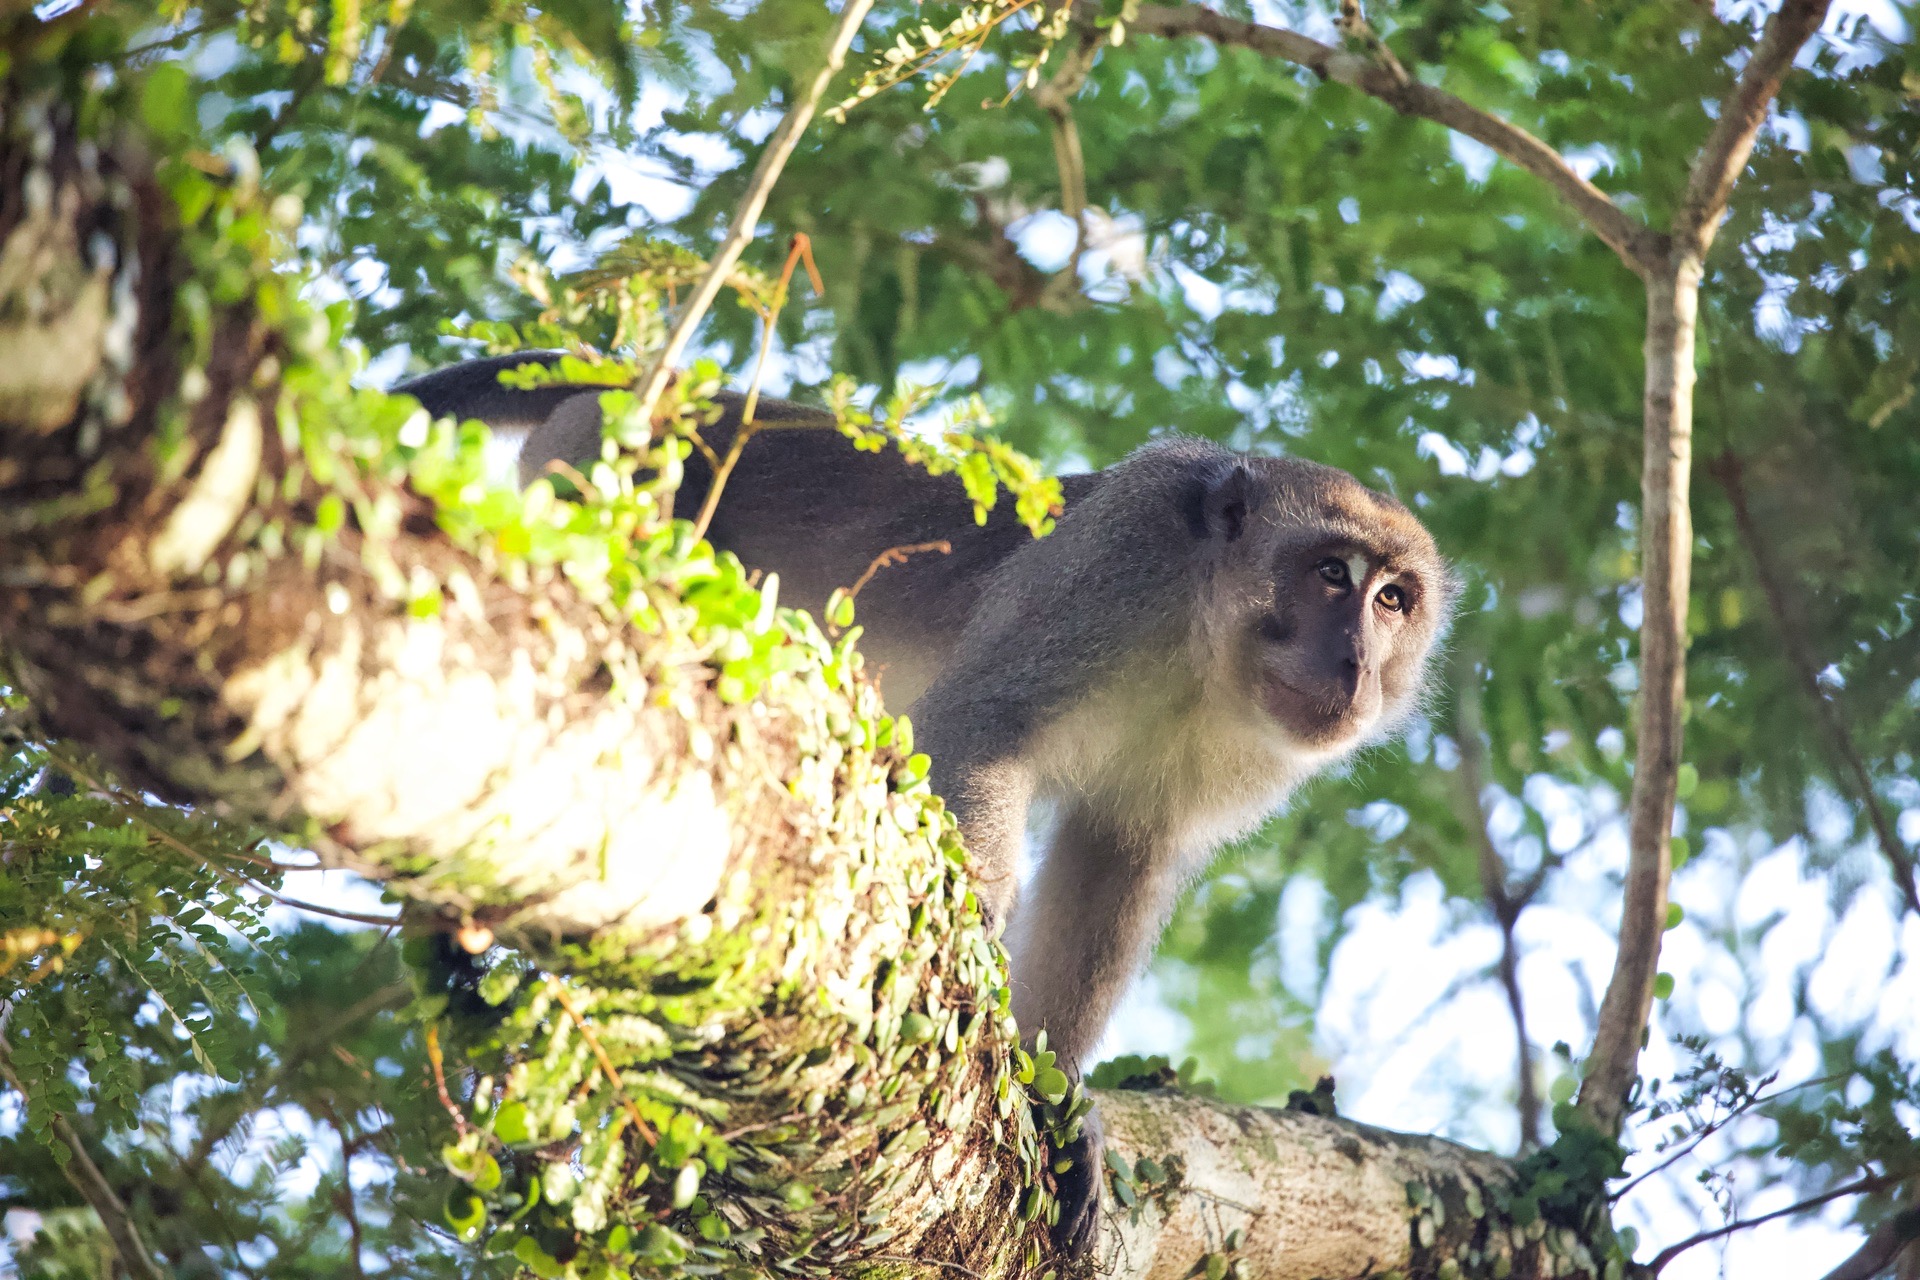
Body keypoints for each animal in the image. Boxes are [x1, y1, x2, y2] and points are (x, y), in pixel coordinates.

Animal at [393, 355, 1451, 1258]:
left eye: (1393, 599)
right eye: (1330, 575)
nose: (1356, 665)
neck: (1202, 638)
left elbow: (1117, 858)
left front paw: (1059, 1098)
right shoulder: (1122, 557)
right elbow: (983, 731)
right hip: (601, 466)